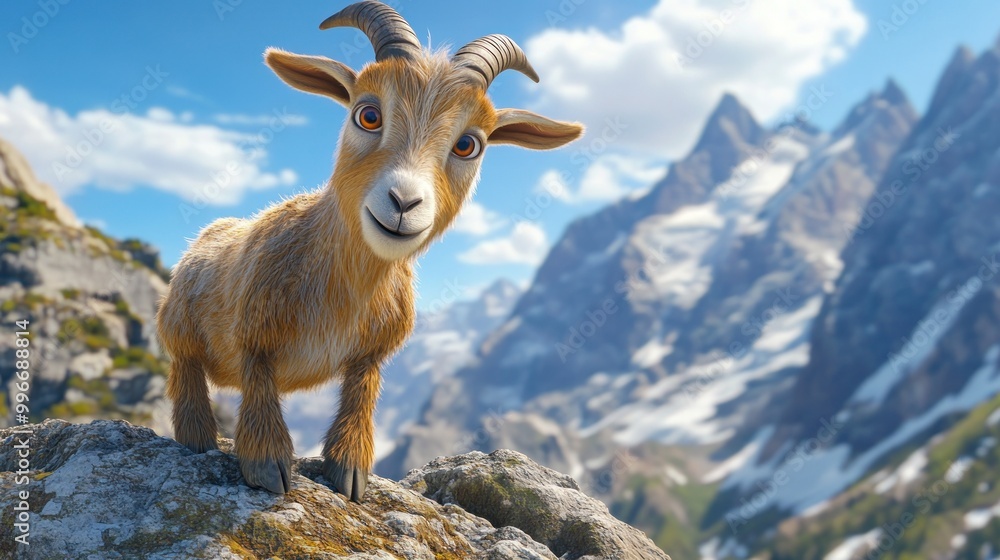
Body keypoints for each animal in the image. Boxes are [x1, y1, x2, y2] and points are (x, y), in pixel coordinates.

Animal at [156, 0, 583, 501]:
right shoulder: (254, 331)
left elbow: (360, 395)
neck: (344, 290)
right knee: (186, 369)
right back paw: (199, 438)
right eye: (368, 115)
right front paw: (267, 467)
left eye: (468, 144)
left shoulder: (372, 352)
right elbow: (260, 386)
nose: (403, 202)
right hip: (179, 324)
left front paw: (351, 470)